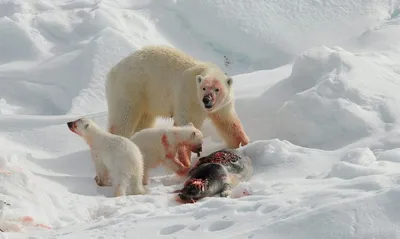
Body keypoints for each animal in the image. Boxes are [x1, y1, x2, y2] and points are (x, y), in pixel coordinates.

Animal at [106, 44, 250, 168]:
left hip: (147, 99)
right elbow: (185, 123)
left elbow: (228, 123)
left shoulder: (222, 106)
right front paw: (186, 161)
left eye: (217, 89)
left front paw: (244, 143)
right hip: (132, 88)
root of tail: (113, 71)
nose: (206, 100)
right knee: (123, 119)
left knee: (144, 121)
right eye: (203, 88)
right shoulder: (187, 96)